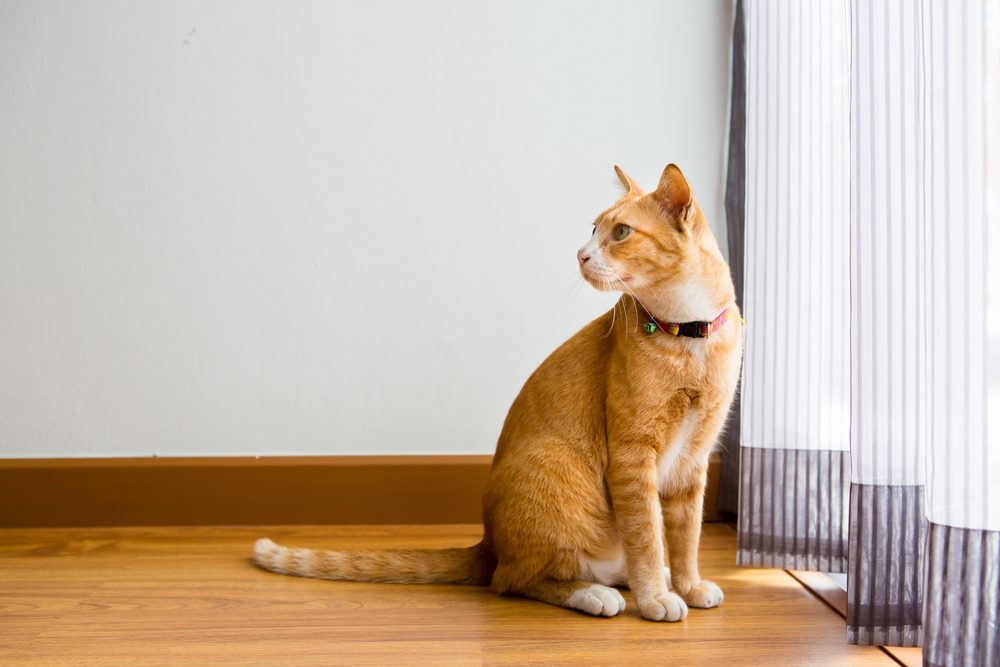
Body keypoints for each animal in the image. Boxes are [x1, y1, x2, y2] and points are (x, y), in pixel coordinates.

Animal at [254, 163, 748, 620]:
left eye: (621, 232)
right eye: (593, 229)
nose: (580, 255)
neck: (688, 332)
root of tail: (488, 542)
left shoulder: (693, 462)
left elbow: (684, 539)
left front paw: (688, 585)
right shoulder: (632, 458)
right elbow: (646, 536)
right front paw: (655, 599)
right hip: (554, 467)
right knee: (514, 579)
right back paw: (595, 595)